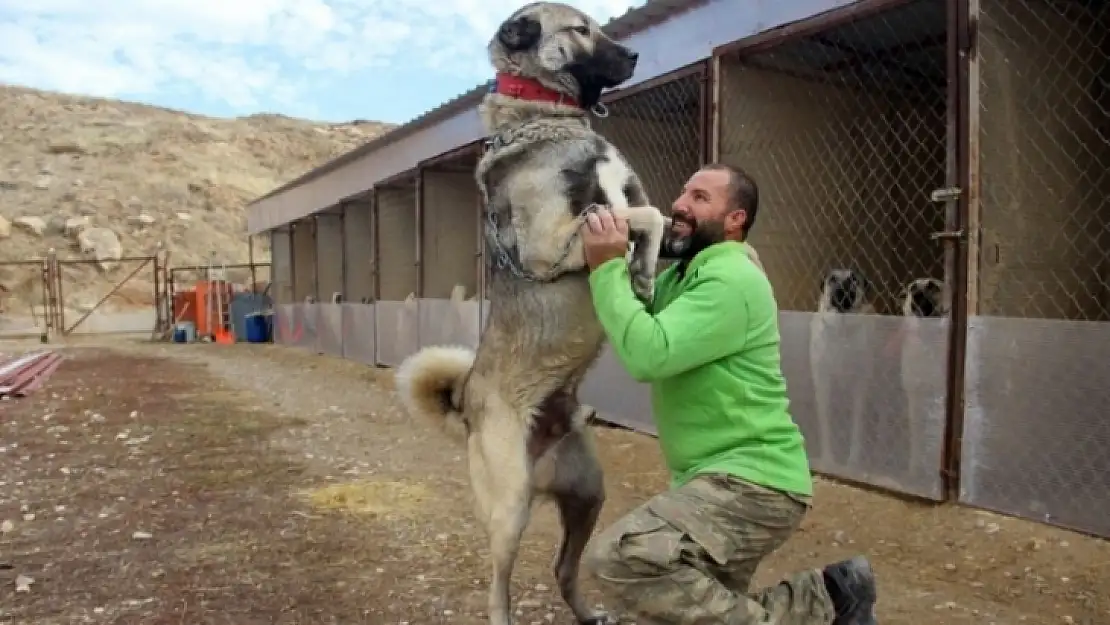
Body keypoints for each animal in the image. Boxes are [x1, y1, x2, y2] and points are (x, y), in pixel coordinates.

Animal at [390, 2, 666, 621]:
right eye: (581, 29)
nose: (636, 54)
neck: (547, 115)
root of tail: (466, 400)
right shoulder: (554, 243)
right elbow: (647, 219)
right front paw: (641, 269)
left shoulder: (626, 198)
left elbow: (656, 216)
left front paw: (645, 273)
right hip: (511, 506)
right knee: (498, 585)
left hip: (589, 494)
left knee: (563, 568)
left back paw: (588, 612)